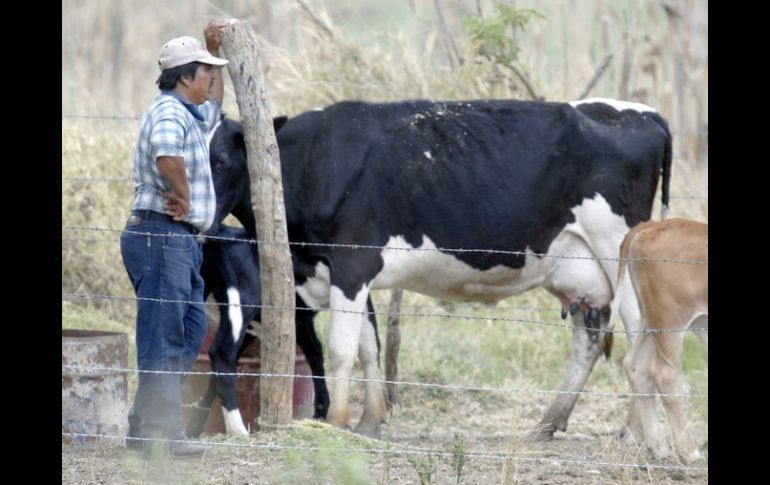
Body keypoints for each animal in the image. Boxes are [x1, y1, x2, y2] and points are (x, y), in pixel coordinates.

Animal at [184, 225, 380, 436]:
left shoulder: (261, 326)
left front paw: (195, 424)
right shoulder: (300, 318)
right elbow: (316, 353)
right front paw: (321, 411)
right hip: (244, 301)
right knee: (220, 352)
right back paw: (238, 429)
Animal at [207, 96, 668, 436]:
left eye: (221, 160)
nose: (198, 217)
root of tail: (646, 113)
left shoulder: (351, 263)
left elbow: (341, 349)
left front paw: (336, 422)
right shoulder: (349, 274)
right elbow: (369, 346)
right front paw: (370, 420)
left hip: (617, 252)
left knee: (640, 336)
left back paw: (634, 433)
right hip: (579, 268)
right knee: (588, 337)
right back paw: (548, 423)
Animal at [608, 218, 708, 462]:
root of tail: (653, 225)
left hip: (650, 319)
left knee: (635, 366)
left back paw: (658, 447)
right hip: (669, 320)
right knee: (666, 375)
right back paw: (689, 452)